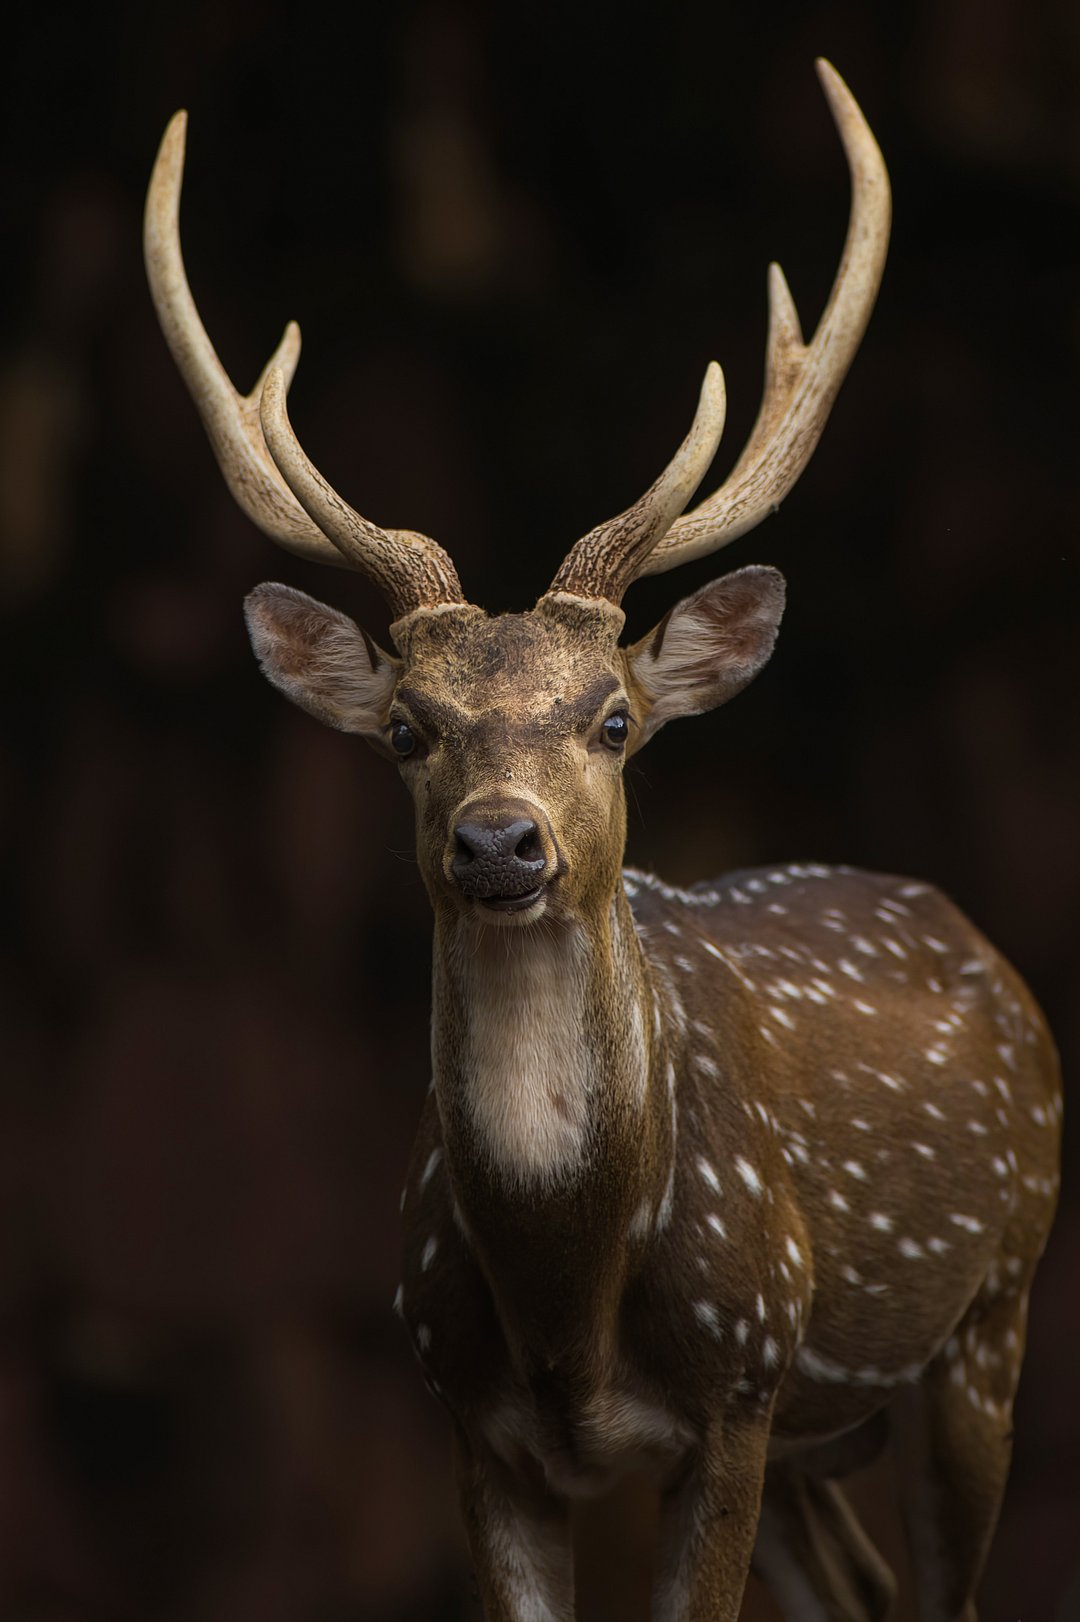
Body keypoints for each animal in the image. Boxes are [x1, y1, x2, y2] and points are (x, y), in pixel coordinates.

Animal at [145, 60, 1057, 1622]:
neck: (568, 1305)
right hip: (829, 1435)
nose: (500, 844)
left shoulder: (742, 1386)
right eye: (407, 725)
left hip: (990, 1314)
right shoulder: (470, 1423)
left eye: (616, 717)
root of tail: (980, 944)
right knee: (867, 1590)